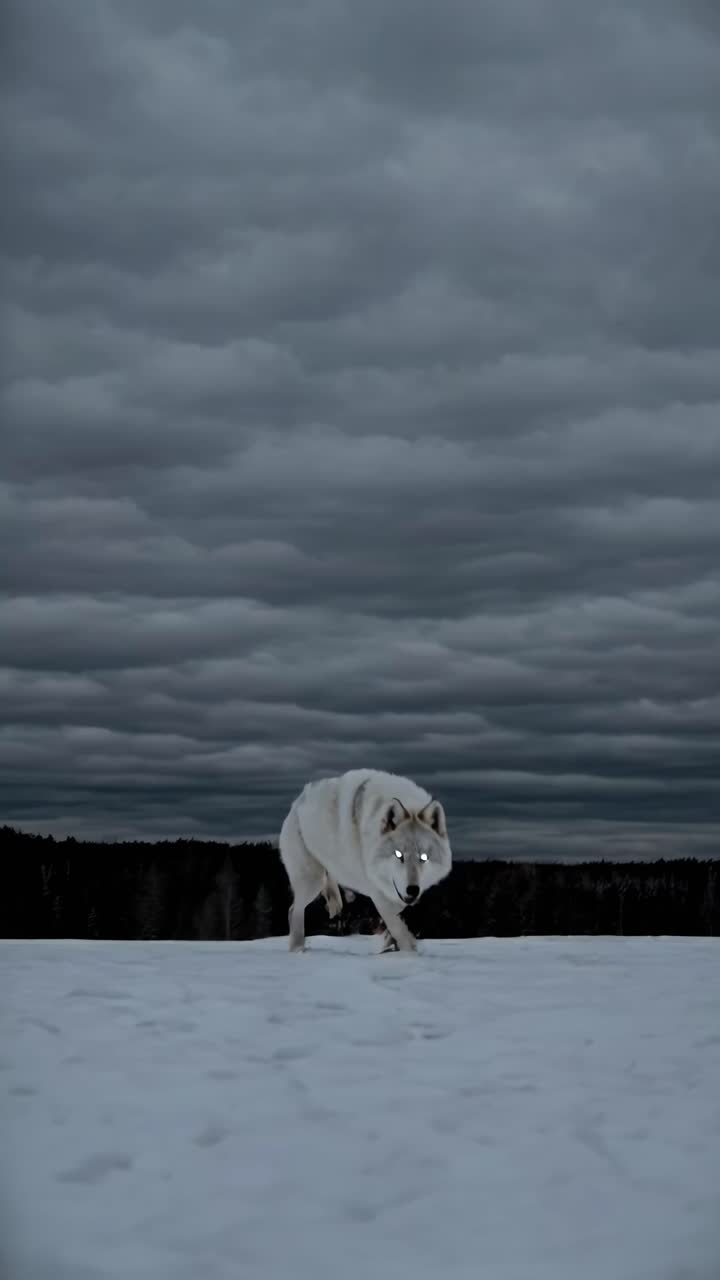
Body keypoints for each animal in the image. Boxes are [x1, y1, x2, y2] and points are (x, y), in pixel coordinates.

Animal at [278, 768, 453, 953]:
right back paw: (297, 949)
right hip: (313, 881)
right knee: (293, 910)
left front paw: (390, 942)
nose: (412, 889)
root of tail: (297, 802)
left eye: (424, 857)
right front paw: (407, 952)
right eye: (398, 854)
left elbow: (397, 919)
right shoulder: (378, 892)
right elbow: (397, 926)